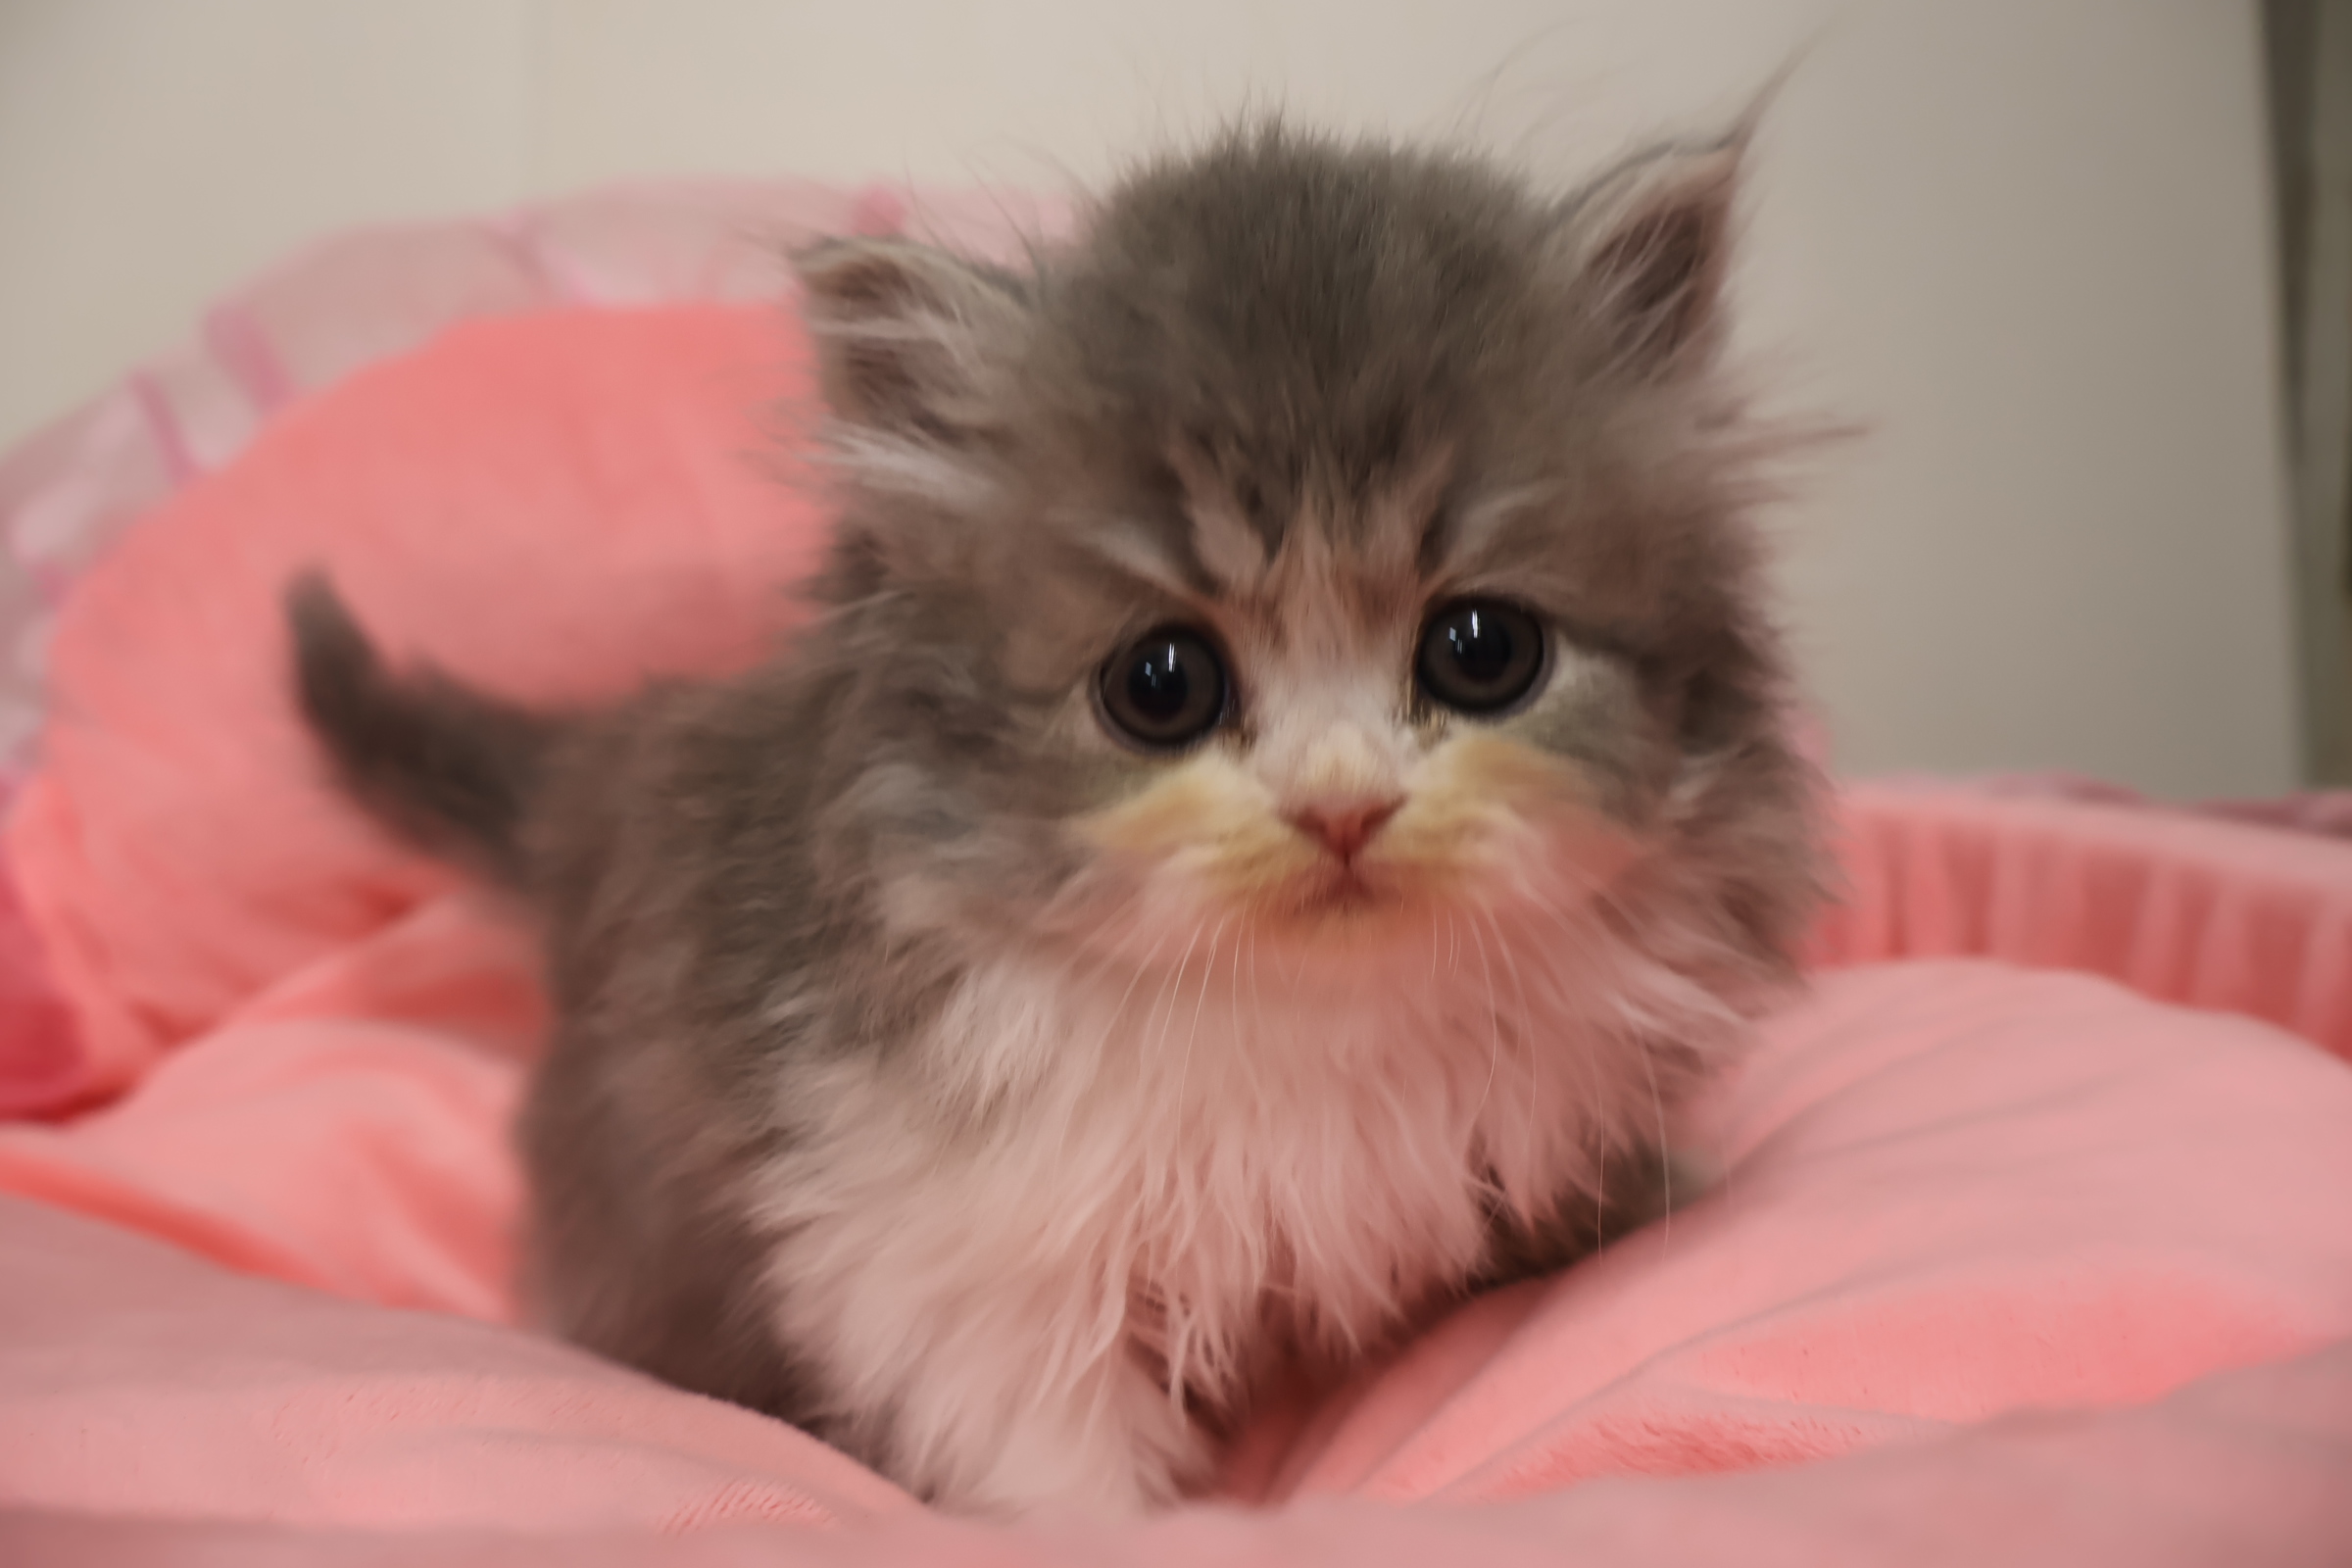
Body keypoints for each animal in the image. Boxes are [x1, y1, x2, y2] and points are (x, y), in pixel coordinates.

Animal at [286, 121, 1823, 1516]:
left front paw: (1623, 1208)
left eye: (1482, 651)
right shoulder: (937, 1234)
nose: (1340, 808)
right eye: (1162, 683)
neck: (1307, 1020)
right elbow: (1037, 1429)